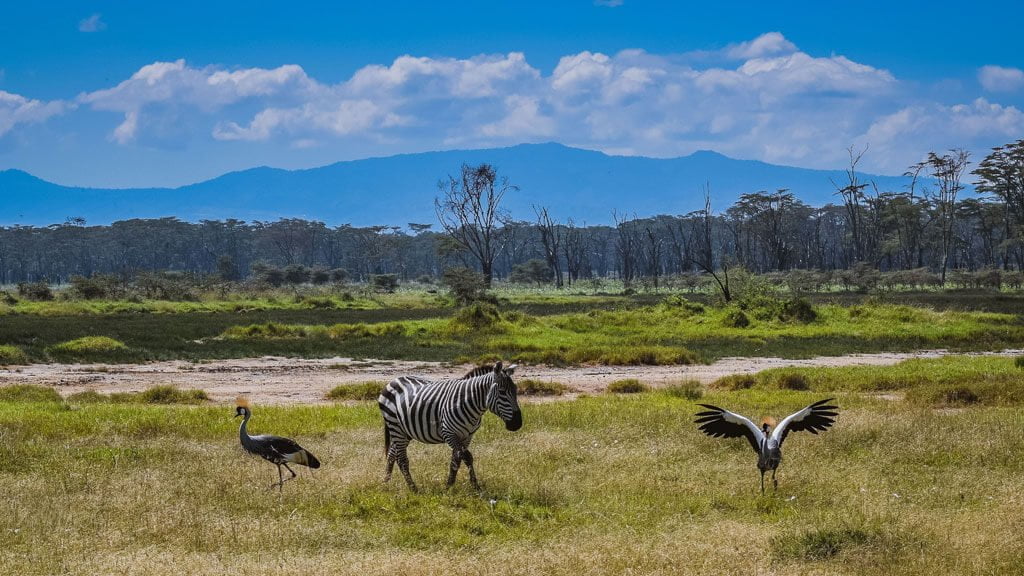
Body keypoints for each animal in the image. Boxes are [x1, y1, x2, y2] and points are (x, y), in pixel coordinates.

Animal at [377, 361, 523, 492]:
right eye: (502, 392)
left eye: (515, 391)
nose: (518, 424)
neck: (469, 403)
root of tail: (394, 380)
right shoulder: (449, 433)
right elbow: (466, 457)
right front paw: (474, 486)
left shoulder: (467, 436)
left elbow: (456, 460)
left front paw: (450, 485)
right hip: (395, 426)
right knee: (402, 459)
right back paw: (413, 488)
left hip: (404, 431)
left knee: (392, 454)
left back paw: (386, 482)